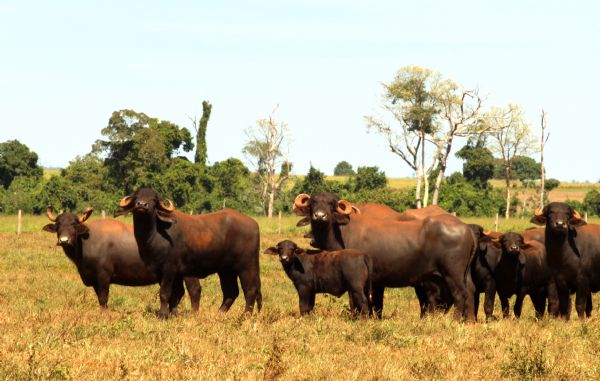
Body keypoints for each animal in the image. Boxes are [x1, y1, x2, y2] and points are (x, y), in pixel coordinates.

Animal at [43, 206, 202, 310]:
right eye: (58, 224)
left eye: (74, 224)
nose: (64, 240)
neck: (87, 241)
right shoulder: (93, 278)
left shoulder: (103, 275)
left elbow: (103, 297)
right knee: (178, 292)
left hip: (189, 273)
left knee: (194, 290)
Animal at [115, 187, 260, 318]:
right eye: (136, 197)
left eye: (154, 199)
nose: (141, 205)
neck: (154, 234)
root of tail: (254, 224)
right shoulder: (165, 273)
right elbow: (175, 294)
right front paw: (173, 314)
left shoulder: (169, 270)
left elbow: (165, 293)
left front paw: (163, 315)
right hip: (226, 270)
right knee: (231, 292)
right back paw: (219, 315)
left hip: (247, 266)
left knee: (250, 291)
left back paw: (244, 317)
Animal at [292, 191, 476, 320]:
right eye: (313, 203)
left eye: (331, 204)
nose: (319, 216)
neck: (342, 232)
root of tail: (466, 229)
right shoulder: (376, 282)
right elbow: (376, 304)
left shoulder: (357, 278)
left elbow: (356, 300)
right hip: (463, 275)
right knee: (469, 293)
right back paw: (468, 320)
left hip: (452, 275)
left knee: (459, 295)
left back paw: (455, 320)